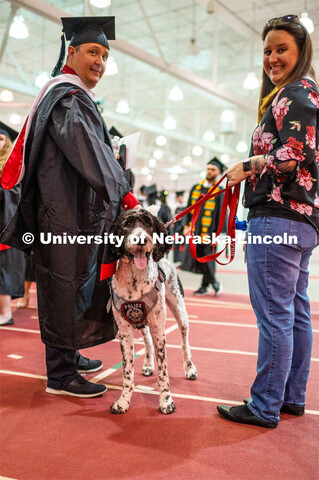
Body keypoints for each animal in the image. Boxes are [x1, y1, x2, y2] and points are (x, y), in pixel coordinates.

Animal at [109, 210, 198, 416]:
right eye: (126, 224)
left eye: (148, 224)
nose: (141, 239)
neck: (135, 278)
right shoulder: (125, 332)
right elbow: (127, 372)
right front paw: (123, 401)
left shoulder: (159, 329)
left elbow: (164, 373)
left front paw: (166, 401)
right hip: (142, 323)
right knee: (147, 340)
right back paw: (148, 364)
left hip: (180, 312)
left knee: (184, 342)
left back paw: (189, 368)